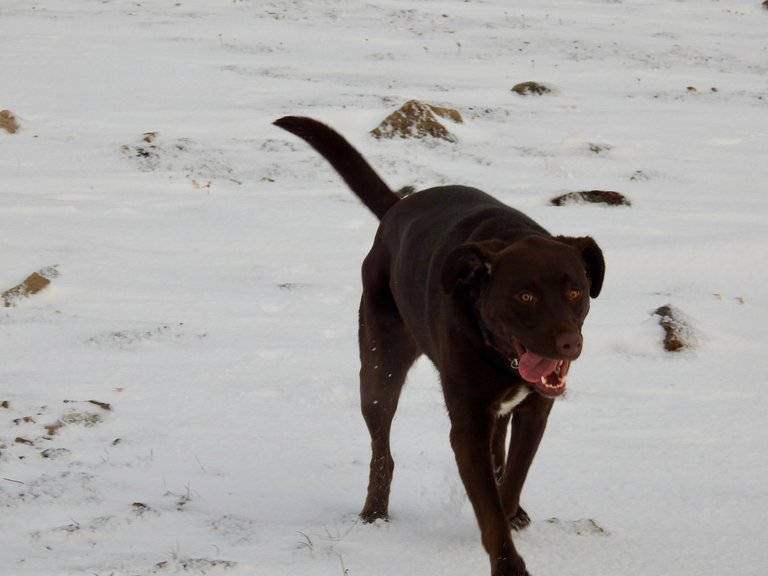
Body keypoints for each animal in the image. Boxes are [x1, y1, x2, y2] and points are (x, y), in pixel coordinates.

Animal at [272, 117, 604, 576]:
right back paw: (374, 513)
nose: (570, 343)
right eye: (525, 296)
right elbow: (488, 498)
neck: (500, 353)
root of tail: (396, 209)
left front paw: (509, 514)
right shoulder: (466, 422)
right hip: (380, 363)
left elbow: (510, 481)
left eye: (575, 292)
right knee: (382, 447)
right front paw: (507, 563)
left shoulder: (535, 411)